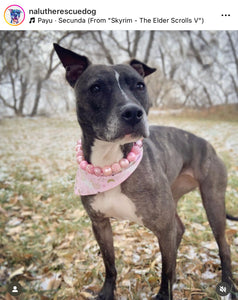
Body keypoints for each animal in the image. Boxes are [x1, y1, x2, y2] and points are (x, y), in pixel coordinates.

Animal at [54, 42, 238, 300]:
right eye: (96, 87)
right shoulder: (100, 224)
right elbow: (110, 264)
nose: (133, 112)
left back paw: (227, 284)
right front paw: (107, 292)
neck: (110, 162)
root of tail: (208, 144)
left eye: (140, 85)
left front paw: (164, 293)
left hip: (213, 201)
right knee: (179, 231)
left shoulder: (163, 226)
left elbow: (166, 269)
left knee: (223, 245)